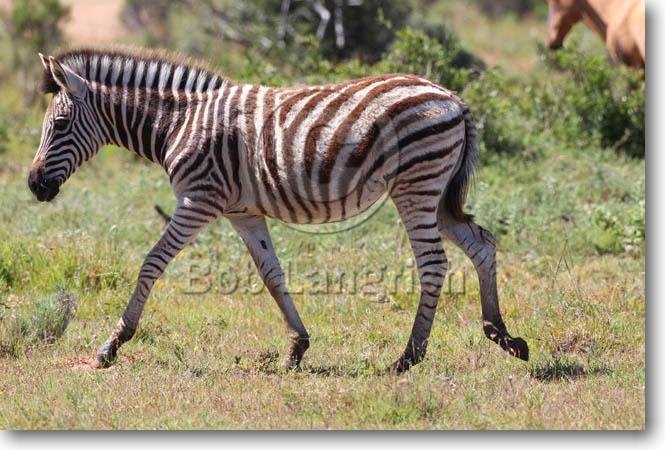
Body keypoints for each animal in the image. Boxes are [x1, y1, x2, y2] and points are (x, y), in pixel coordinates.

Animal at [28, 48, 528, 372]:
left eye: (60, 124)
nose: (34, 186)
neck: (177, 123)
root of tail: (453, 97)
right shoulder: (242, 212)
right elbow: (272, 275)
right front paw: (296, 348)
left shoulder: (198, 200)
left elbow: (151, 264)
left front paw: (111, 345)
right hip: (438, 192)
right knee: (481, 245)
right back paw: (503, 335)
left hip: (416, 185)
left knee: (434, 264)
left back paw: (408, 357)